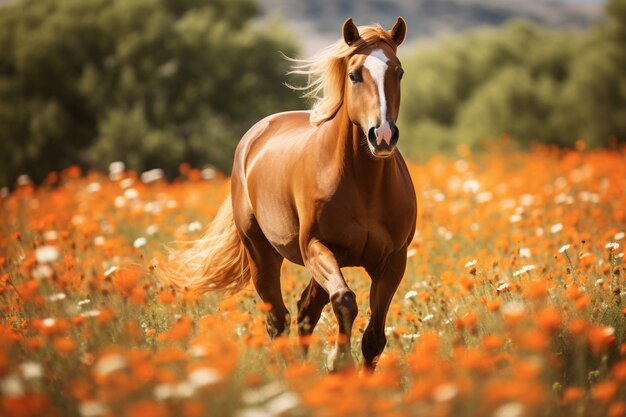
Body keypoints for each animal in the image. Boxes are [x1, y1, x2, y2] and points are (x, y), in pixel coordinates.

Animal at [158, 17, 416, 370]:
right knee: (277, 319)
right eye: (354, 74)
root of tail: (253, 137)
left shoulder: (393, 262)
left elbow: (374, 337)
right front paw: (338, 362)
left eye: (399, 72)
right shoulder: (317, 247)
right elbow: (345, 300)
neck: (364, 186)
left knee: (305, 310)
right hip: (261, 253)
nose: (383, 136)